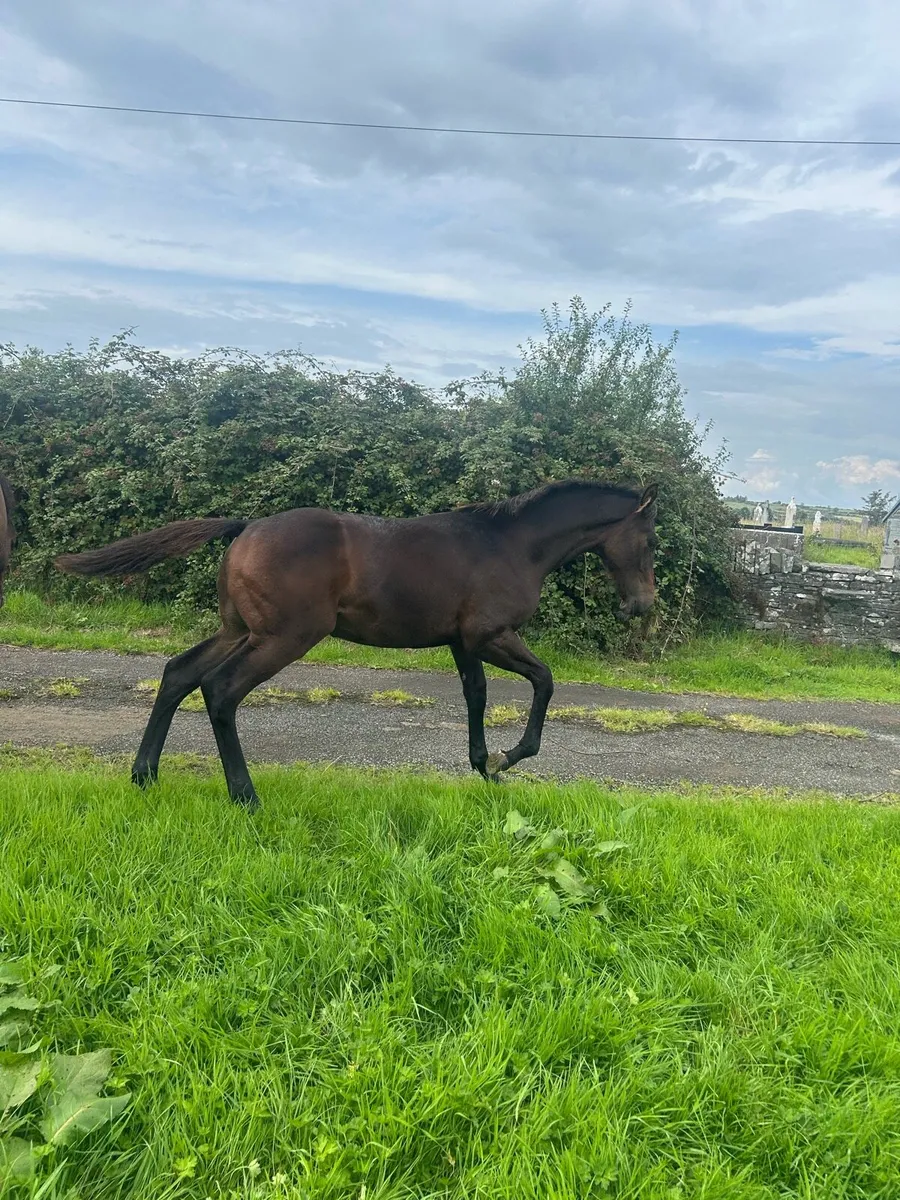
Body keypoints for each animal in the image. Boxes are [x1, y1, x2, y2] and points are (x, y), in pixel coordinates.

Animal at [55, 479, 659, 808]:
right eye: (651, 539)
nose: (642, 605)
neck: (509, 544)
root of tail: (245, 527)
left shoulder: (463, 641)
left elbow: (477, 696)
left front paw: (483, 764)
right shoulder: (491, 635)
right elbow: (544, 680)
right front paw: (511, 757)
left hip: (240, 630)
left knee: (179, 673)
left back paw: (144, 775)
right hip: (283, 638)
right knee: (220, 690)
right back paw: (246, 797)